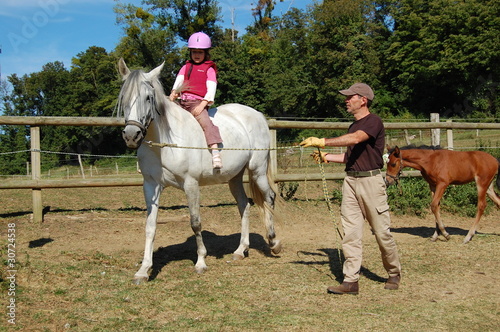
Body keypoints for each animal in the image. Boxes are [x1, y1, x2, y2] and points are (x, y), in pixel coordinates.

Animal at [116, 58, 282, 284]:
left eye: (148, 97)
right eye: (124, 96)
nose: (131, 136)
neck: (166, 141)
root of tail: (257, 115)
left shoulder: (191, 184)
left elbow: (195, 222)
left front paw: (201, 262)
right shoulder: (151, 185)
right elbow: (150, 226)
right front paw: (143, 270)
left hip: (257, 170)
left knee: (269, 198)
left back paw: (274, 243)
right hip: (234, 178)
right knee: (244, 205)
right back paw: (240, 250)